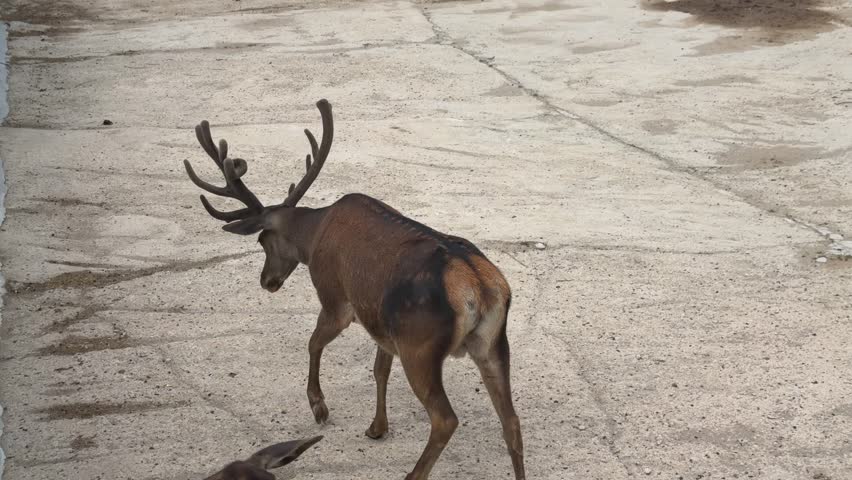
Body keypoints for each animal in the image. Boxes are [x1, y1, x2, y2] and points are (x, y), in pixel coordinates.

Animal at [183, 99, 525, 480]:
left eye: (262, 240)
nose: (267, 281)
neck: (314, 233)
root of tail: (480, 287)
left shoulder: (336, 298)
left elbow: (314, 342)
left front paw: (319, 407)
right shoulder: (381, 322)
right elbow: (379, 369)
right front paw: (377, 428)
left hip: (421, 346)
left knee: (445, 419)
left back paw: (412, 474)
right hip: (492, 344)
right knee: (511, 421)